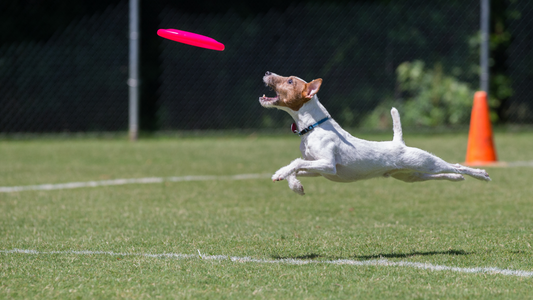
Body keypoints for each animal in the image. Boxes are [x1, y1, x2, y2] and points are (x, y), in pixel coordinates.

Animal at [258, 71, 490, 196]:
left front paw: (280, 173)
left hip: (424, 161)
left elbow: (295, 163)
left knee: (455, 165)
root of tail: (399, 143)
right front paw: (295, 186)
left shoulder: (328, 164)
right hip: (410, 175)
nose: (268, 73)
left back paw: (481, 174)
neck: (313, 127)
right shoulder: (318, 168)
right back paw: (456, 178)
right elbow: (296, 168)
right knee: (442, 174)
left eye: (290, 81)